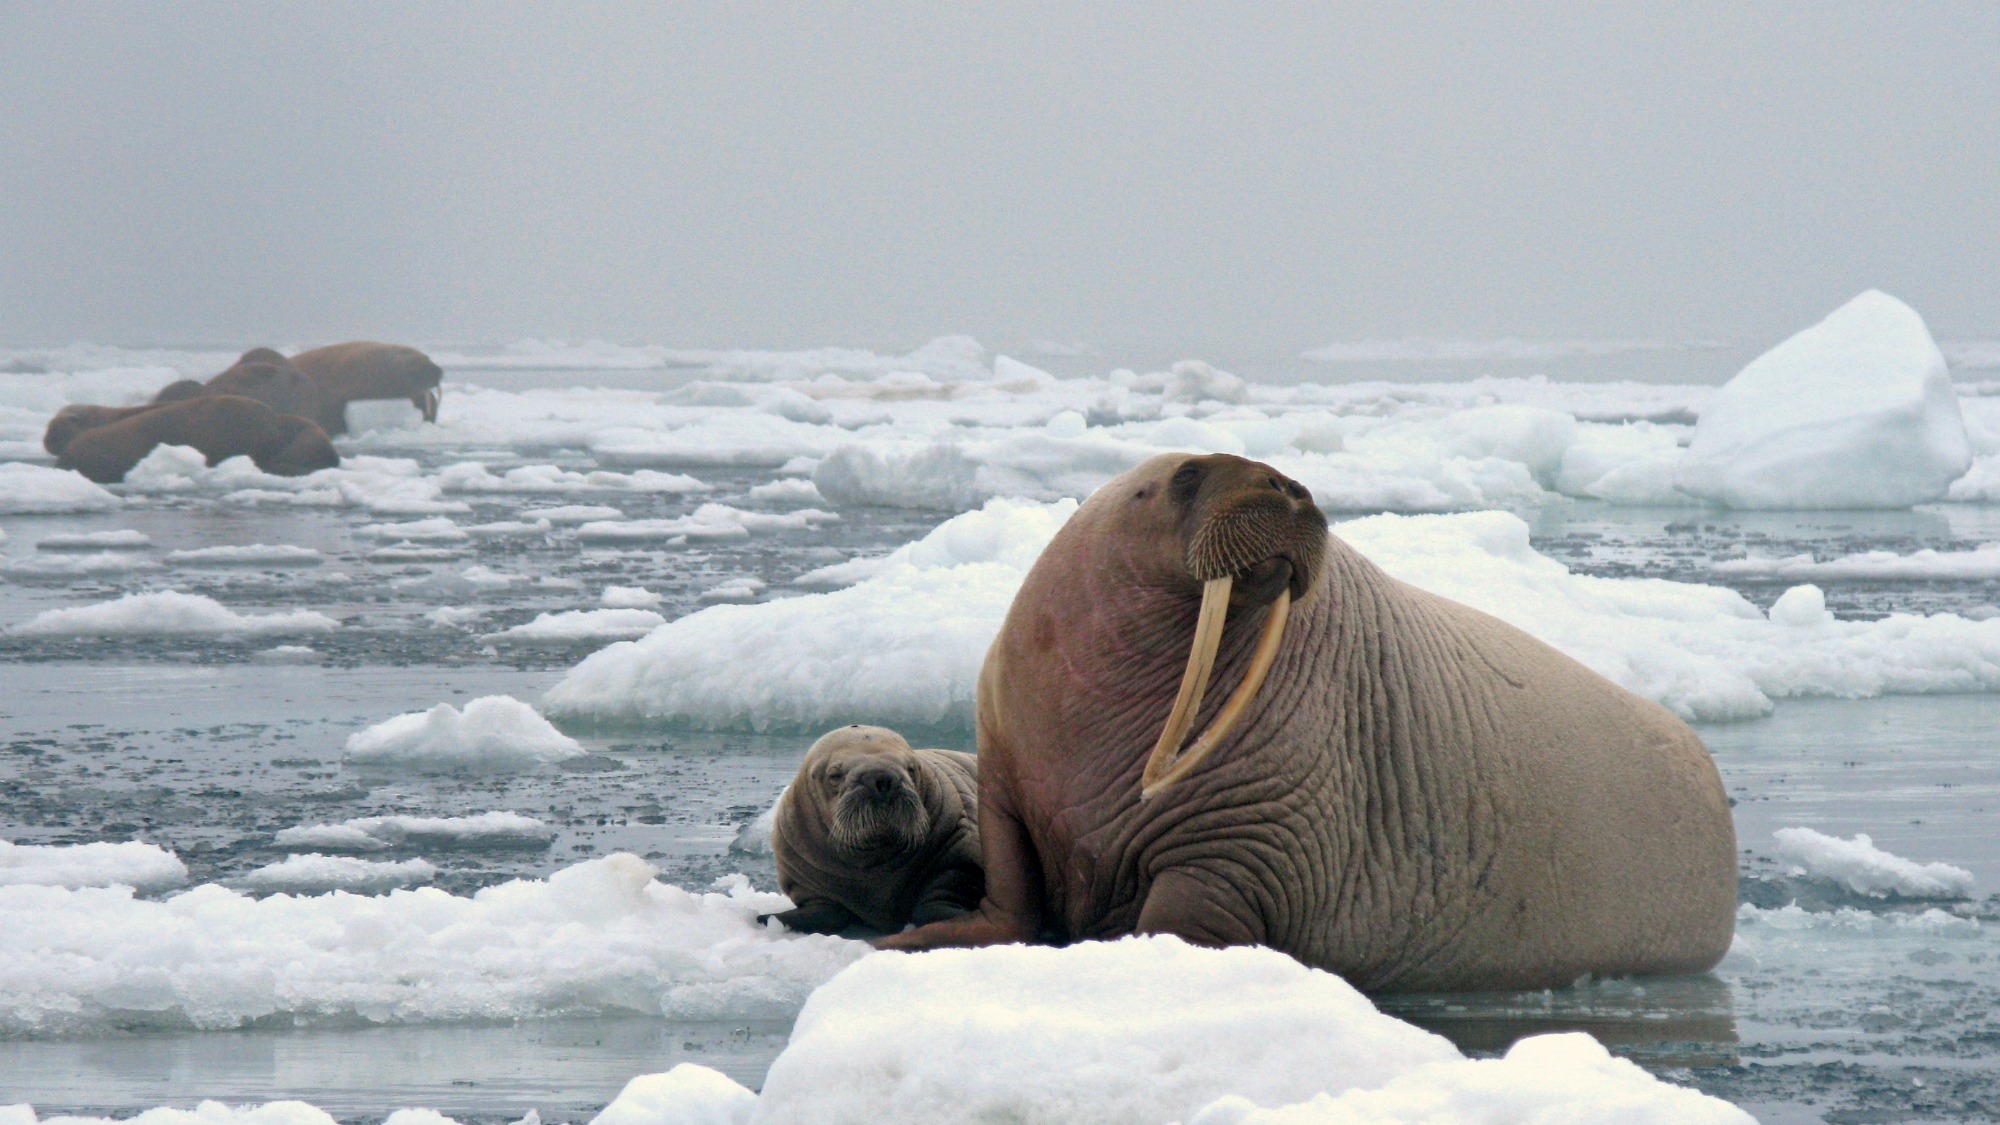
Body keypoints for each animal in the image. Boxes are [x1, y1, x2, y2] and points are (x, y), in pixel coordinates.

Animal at [756, 720, 984, 932]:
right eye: (834, 775)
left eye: (911, 768)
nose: (882, 778)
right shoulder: (804, 881)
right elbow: (825, 913)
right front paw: (765, 917)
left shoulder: (961, 843)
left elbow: (937, 898)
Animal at [884, 450, 1744, 984]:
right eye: (1188, 473)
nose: (1288, 486)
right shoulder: (1007, 776)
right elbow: (1012, 887)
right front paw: (907, 939)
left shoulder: (1246, 838)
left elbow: (1185, 916)